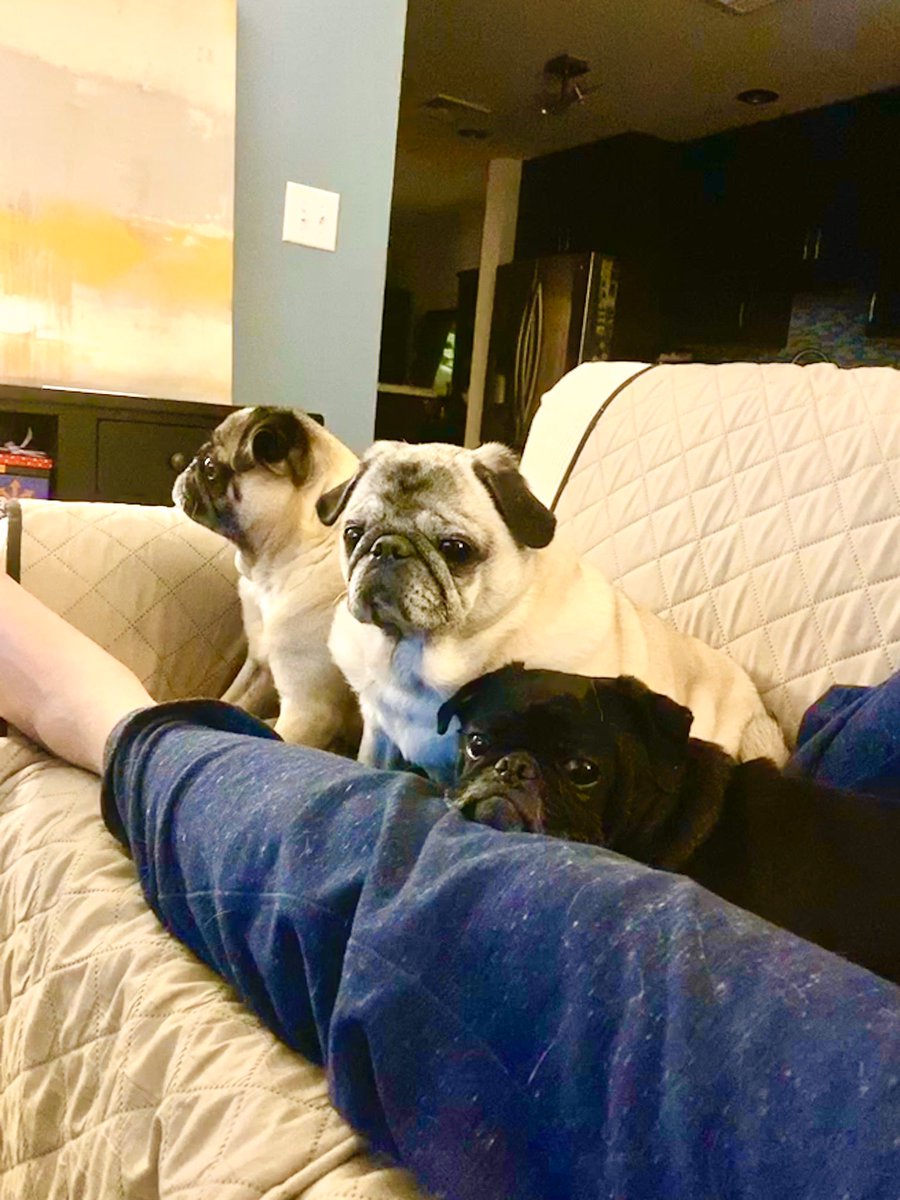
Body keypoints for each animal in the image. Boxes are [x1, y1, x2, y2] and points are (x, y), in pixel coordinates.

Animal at [316, 440, 786, 785]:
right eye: (353, 534)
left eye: (455, 549)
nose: (387, 548)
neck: (417, 660)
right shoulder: (379, 734)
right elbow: (369, 764)